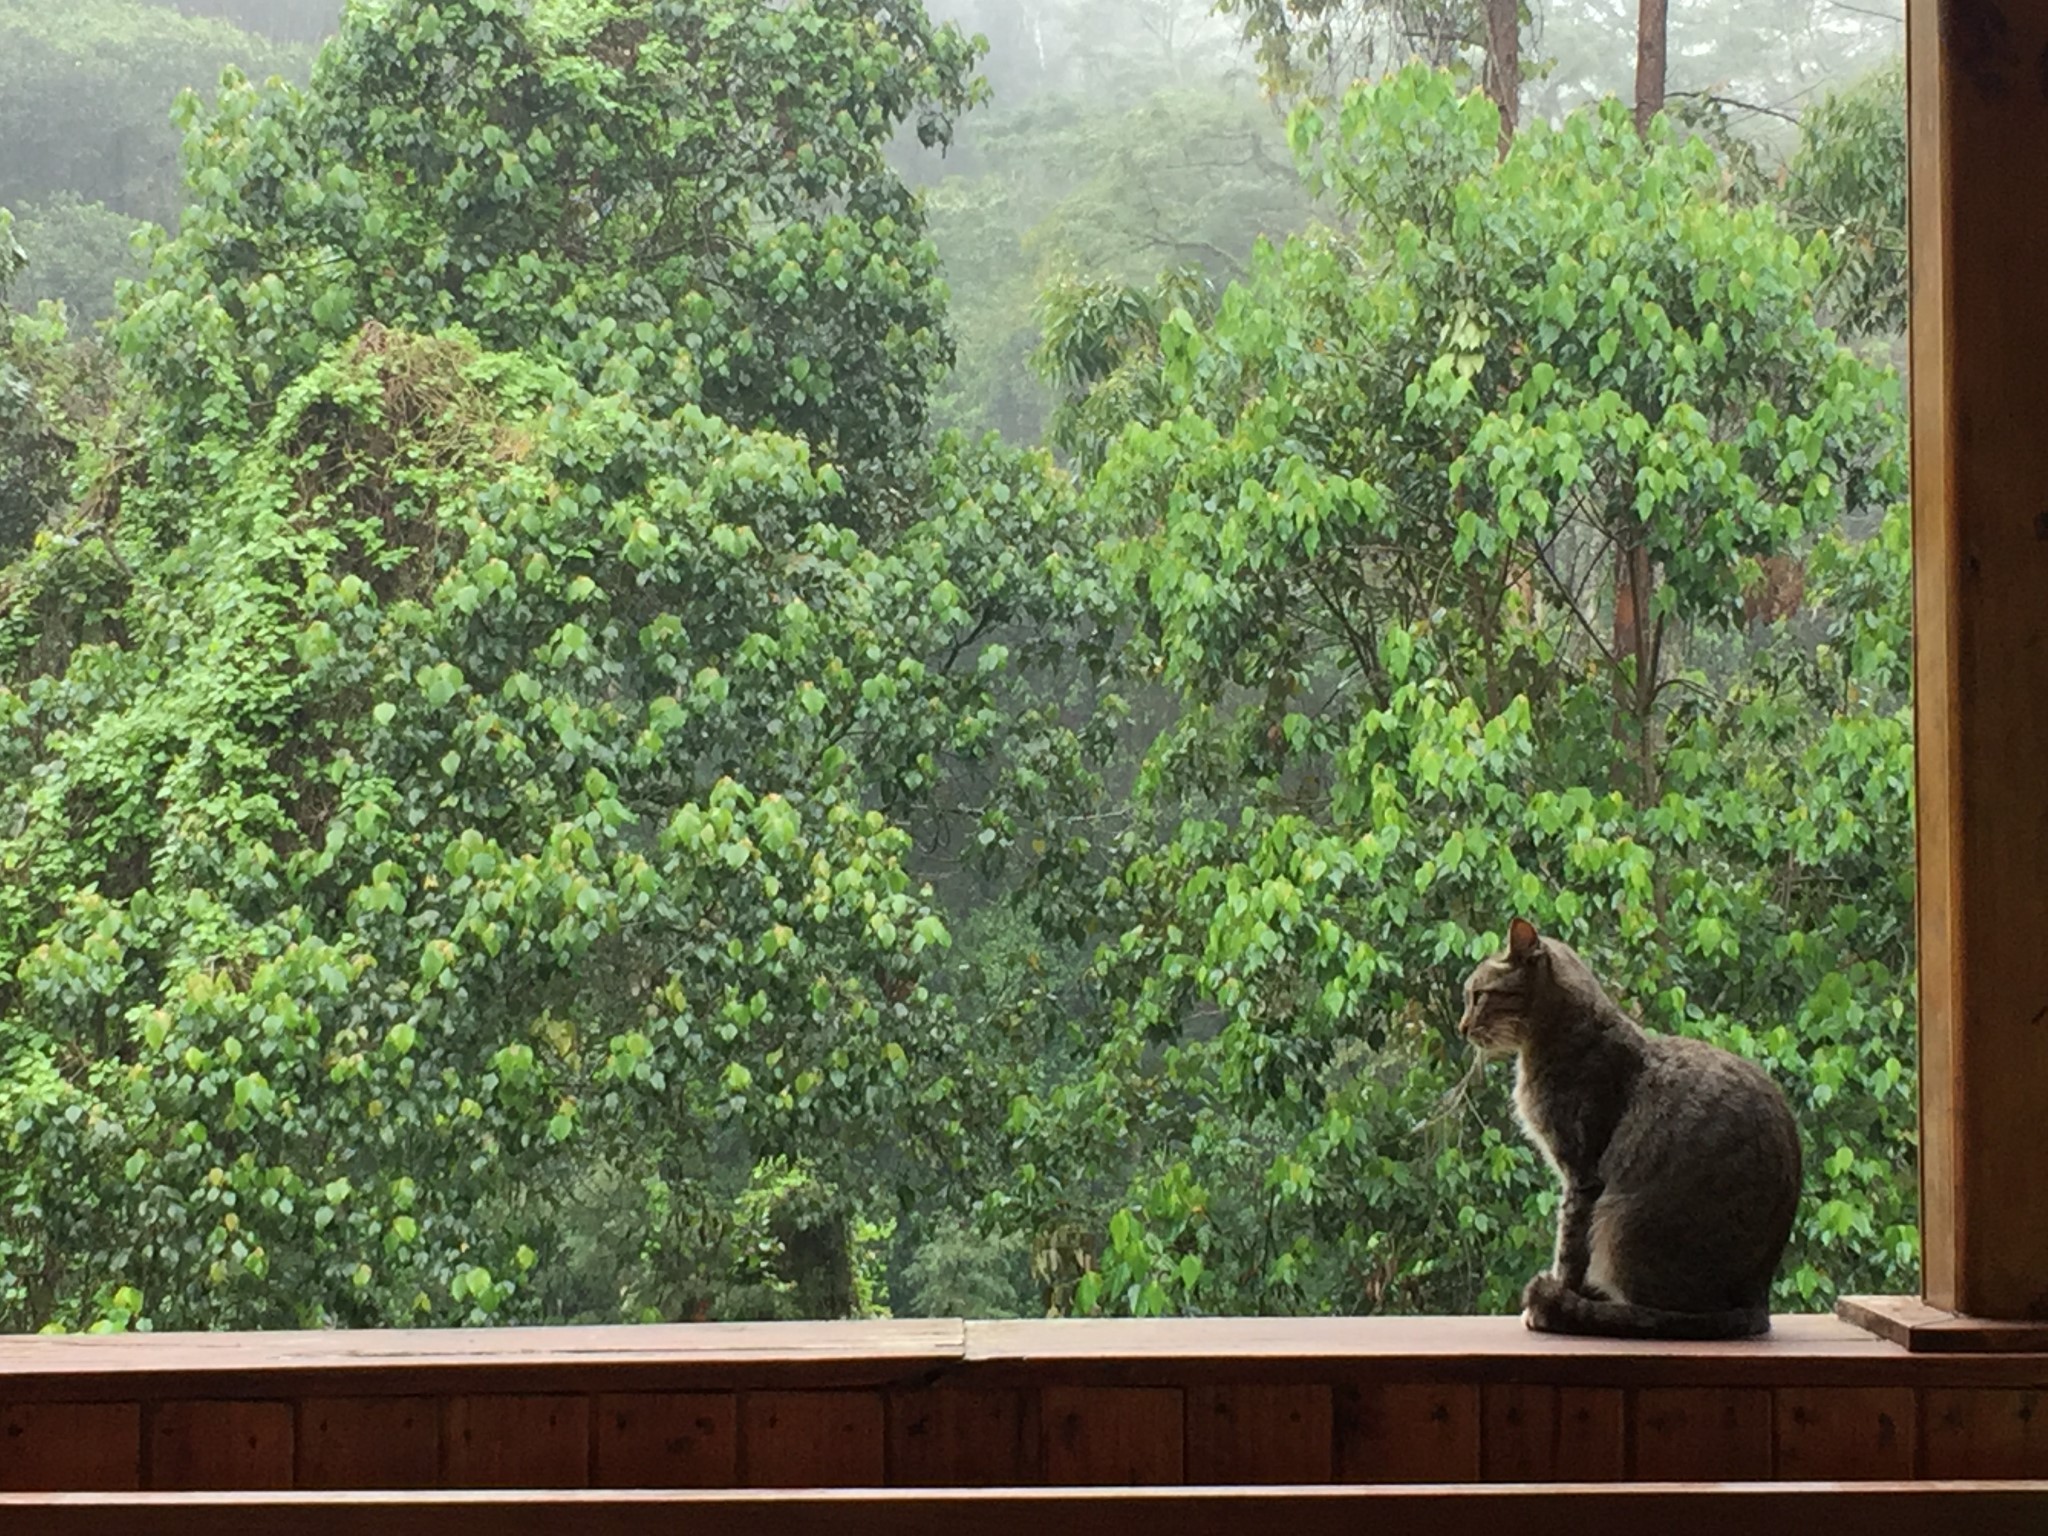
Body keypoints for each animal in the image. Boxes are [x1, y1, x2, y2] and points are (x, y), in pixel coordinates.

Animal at [1458, 921, 1810, 1343]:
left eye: (1478, 996)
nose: (1461, 1027)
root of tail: (1757, 1303)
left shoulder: (1581, 1175)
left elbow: (1569, 1251)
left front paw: (1555, 1300)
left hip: (1620, 1223)